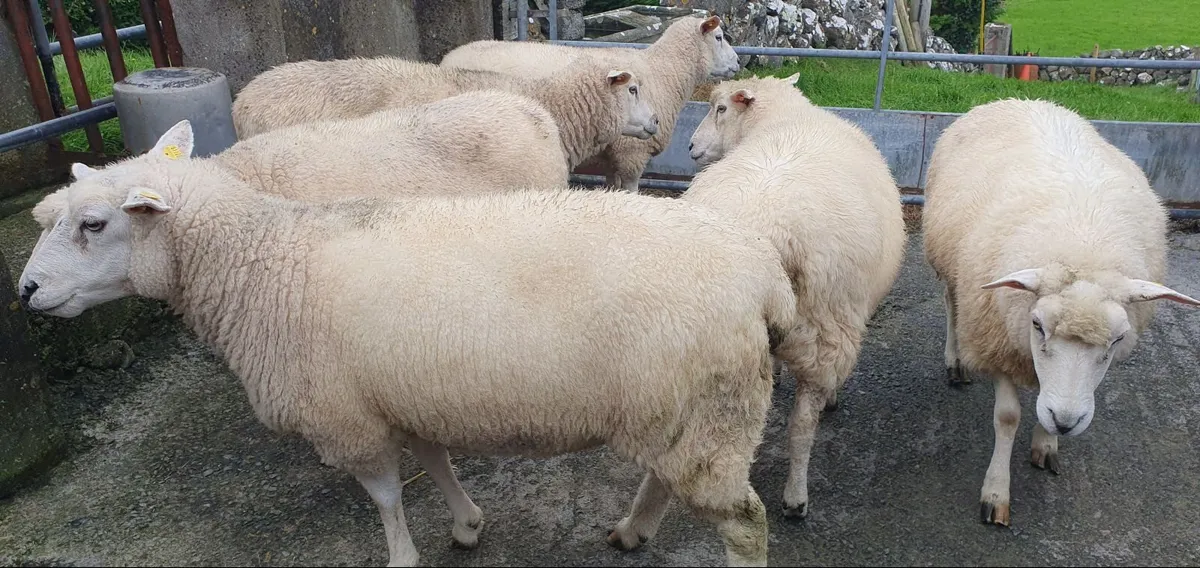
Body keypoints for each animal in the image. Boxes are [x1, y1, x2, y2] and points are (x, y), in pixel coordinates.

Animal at [20, 121, 799, 567]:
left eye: (93, 224)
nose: (24, 291)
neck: (266, 266)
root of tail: (761, 273)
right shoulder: (405, 393)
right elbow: (433, 460)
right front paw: (466, 523)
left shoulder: (346, 418)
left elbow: (388, 495)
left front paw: (403, 555)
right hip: (685, 409)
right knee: (668, 477)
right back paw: (634, 530)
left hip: (714, 407)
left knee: (744, 522)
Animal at [441, 14, 741, 192]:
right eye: (718, 37)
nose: (739, 62)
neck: (665, 71)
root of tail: (448, 58)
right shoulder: (632, 154)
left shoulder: (614, 155)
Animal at [683, 74, 907, 519]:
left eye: (720, 108)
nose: (691, 147)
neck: (784, 117)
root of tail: (764, 234)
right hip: (826, 323)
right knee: (802, 428)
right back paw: (796, 498)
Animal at [922, 98, 1200, 527]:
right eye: (1036, 325)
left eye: (1118, 340)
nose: (1067, 422)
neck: (1082, 243)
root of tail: (1020, 99)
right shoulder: (999, 337)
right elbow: (1007, 418)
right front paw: (996, 492)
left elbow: (1046, 401)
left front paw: (1048, 440)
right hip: (952, 266)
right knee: (952, 305)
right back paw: (955, 361)